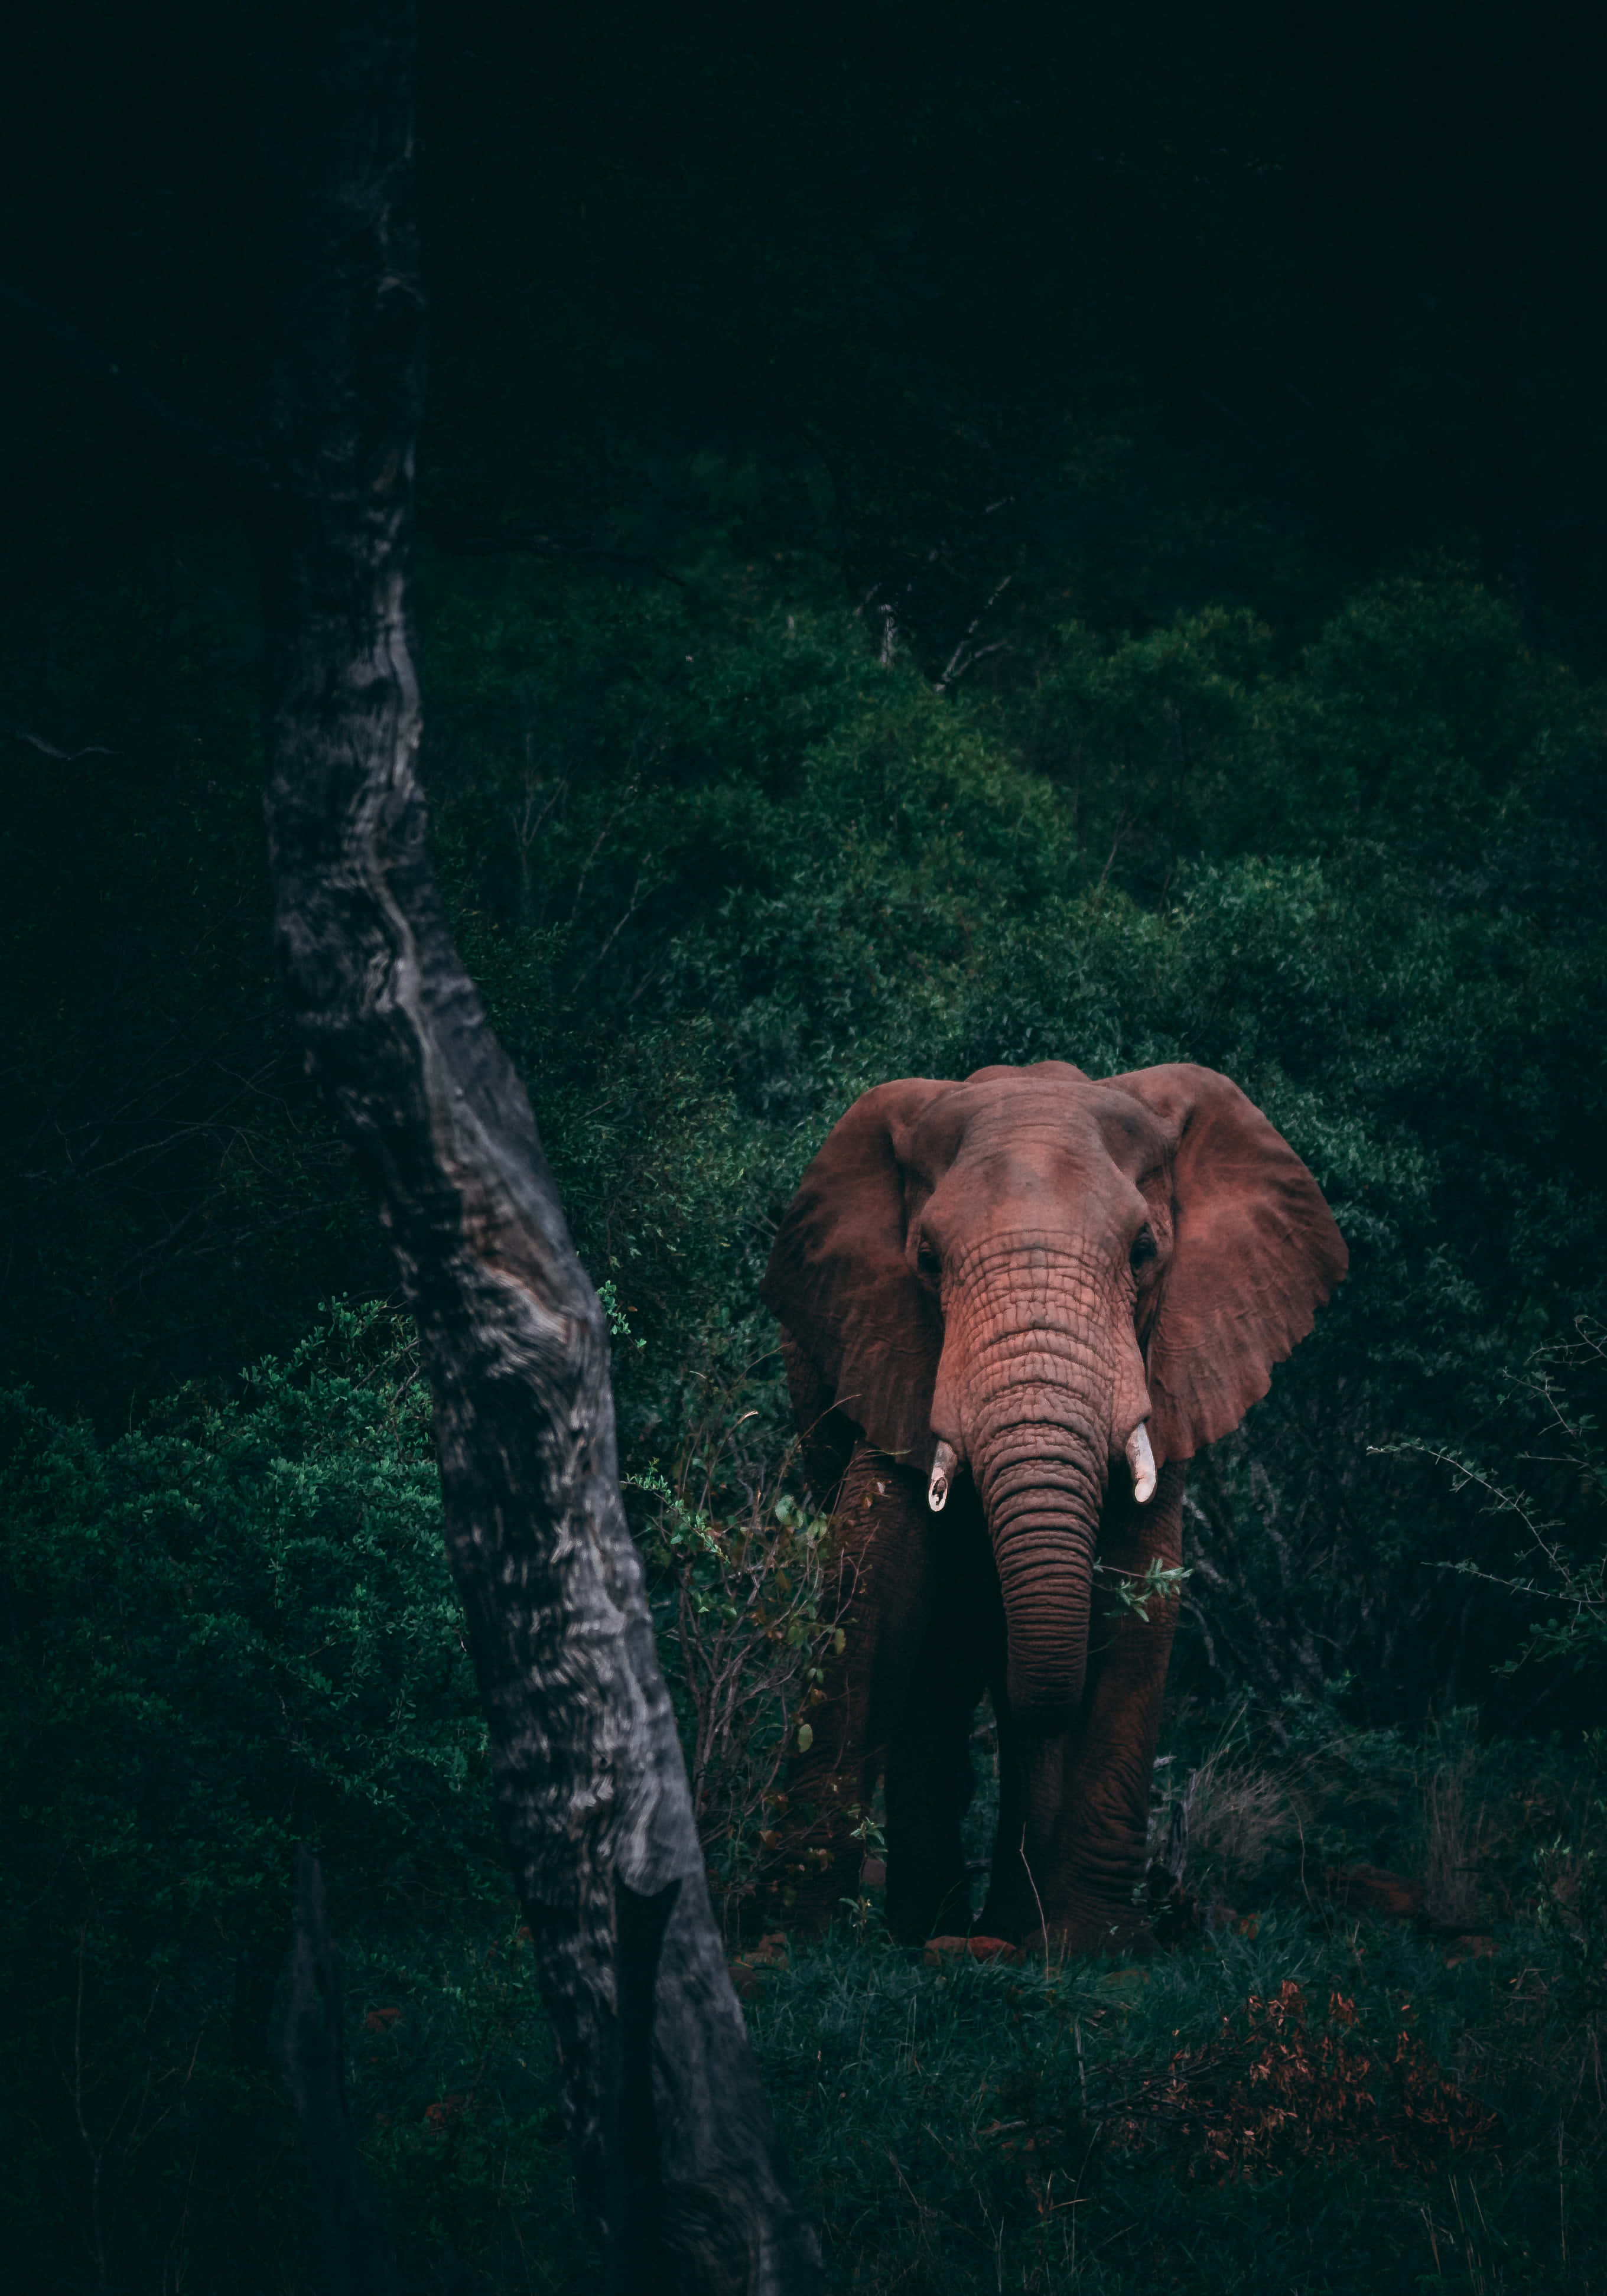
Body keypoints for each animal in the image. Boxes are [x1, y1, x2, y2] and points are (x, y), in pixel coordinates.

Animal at [760, 1058, 1346, 1954]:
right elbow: (876, 1587)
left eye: (1143, 1252)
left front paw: (1095, 1946)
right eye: (926, 1259)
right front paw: (789, 1934)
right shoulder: (885, 1347)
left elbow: (1140, 1595)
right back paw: (932, 1925)